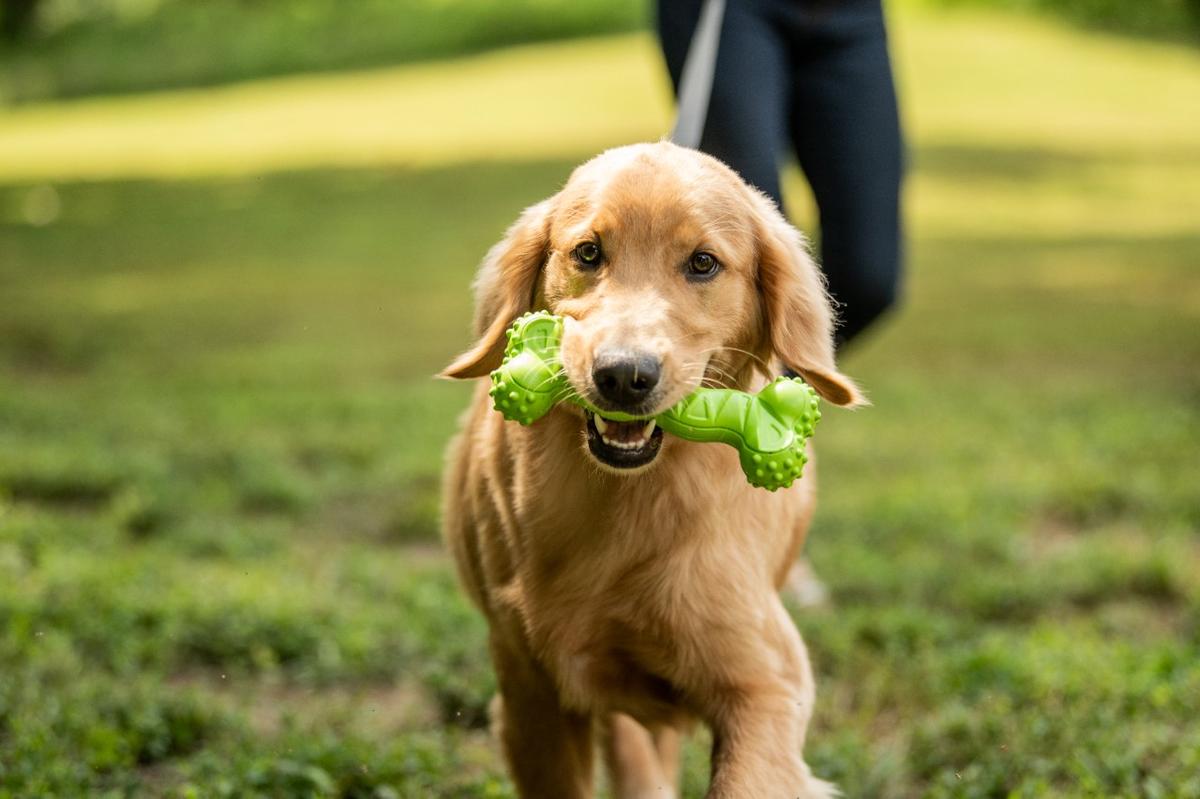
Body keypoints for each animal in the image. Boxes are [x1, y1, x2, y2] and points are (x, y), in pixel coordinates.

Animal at [441, 139, 864, 791]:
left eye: (703, 263)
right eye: (588, 252)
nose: (623, 375)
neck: (625, 501)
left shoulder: (767, 683)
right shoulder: (529, 693)